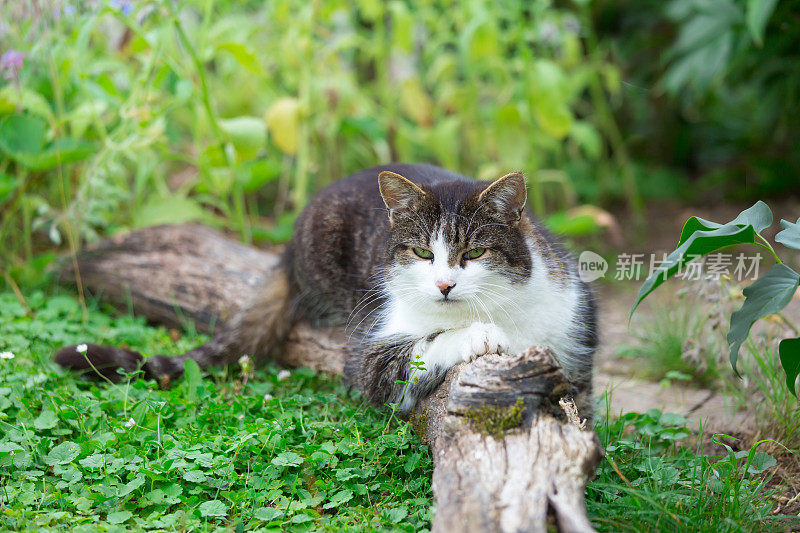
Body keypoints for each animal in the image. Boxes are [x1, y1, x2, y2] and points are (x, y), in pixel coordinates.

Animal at [56, 162, 596, 412]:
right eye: (422, 253)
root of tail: (289, 246)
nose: (443, 285)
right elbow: (408, 356)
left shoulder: (574, 325)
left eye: (474, 255)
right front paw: (480, 335)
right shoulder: (367, 355)